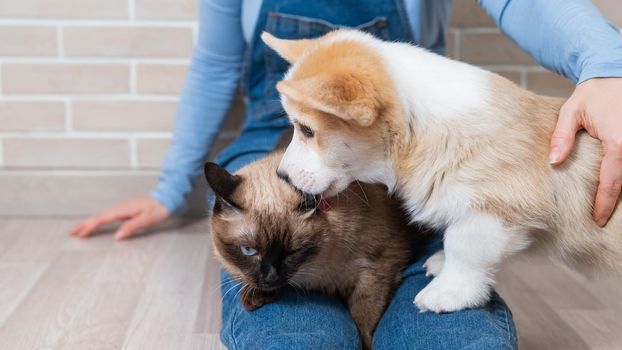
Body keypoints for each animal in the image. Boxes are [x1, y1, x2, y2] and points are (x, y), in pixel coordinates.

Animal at [205, 151, 428, 350]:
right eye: (248, 250)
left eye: (292, 251)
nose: (271, 278)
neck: (314, 270)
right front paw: (255, 296)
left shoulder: (377, 271)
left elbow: (363, 320)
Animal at [264, 30, 622, 314]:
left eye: (307, 130)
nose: (281, 176)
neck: (419, 127)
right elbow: (453, 243)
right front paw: (441, 264)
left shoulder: (496, 208)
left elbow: (463, 247)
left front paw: (448, 293)